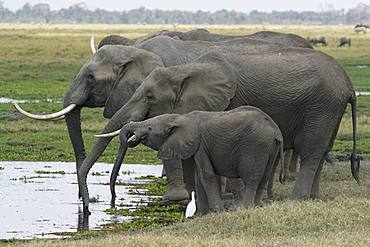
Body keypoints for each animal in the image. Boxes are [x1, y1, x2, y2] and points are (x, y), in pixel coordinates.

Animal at [112, 106, 284, 214]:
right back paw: (257, 206)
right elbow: (198, 177)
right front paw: (201, 213)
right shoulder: (195, 147)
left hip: (256, 145)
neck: (180, 118)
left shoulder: (201, 145)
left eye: (149, 129)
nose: (114, 197)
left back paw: (243, 208)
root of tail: (276, 130)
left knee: (252, 178)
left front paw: (216, 212)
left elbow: (206, 174)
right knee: (264, 177)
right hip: (269, 148)